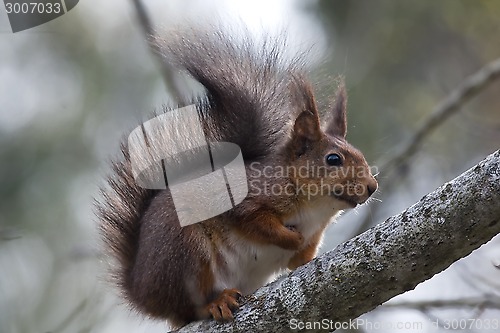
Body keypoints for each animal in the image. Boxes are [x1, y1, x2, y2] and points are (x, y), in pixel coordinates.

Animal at [97, 26, 378, 326]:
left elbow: (298, 261)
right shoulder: (247, 201)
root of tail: (140, 291)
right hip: (184, 251)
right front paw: (291, 238)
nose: (372, 187)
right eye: (333, 159)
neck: (315, 208)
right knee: (190, 306)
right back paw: (217, 302)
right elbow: (257, 224)